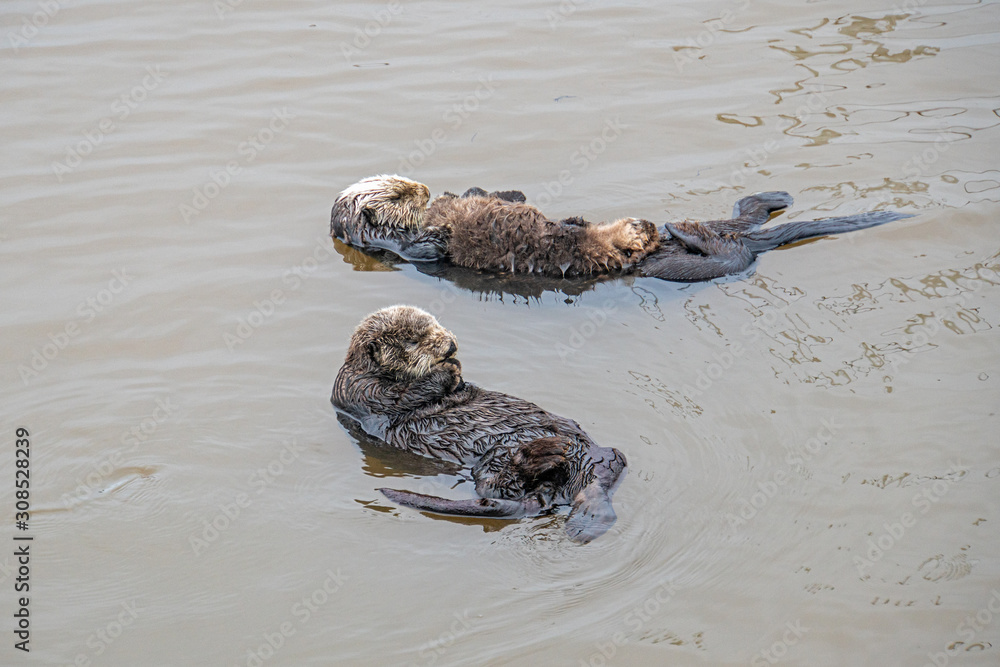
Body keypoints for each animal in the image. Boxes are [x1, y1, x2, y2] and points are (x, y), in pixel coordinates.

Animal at [331, 305, 627, 543]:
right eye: (413, 341)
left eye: (436, 324)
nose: (450, 346)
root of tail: (581, 473)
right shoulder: (358, 388)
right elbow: (399, 396)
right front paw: (449, 368)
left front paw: (455, 367)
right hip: (496, 458)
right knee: (499, 485)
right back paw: (542, 455)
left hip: (602, 454)